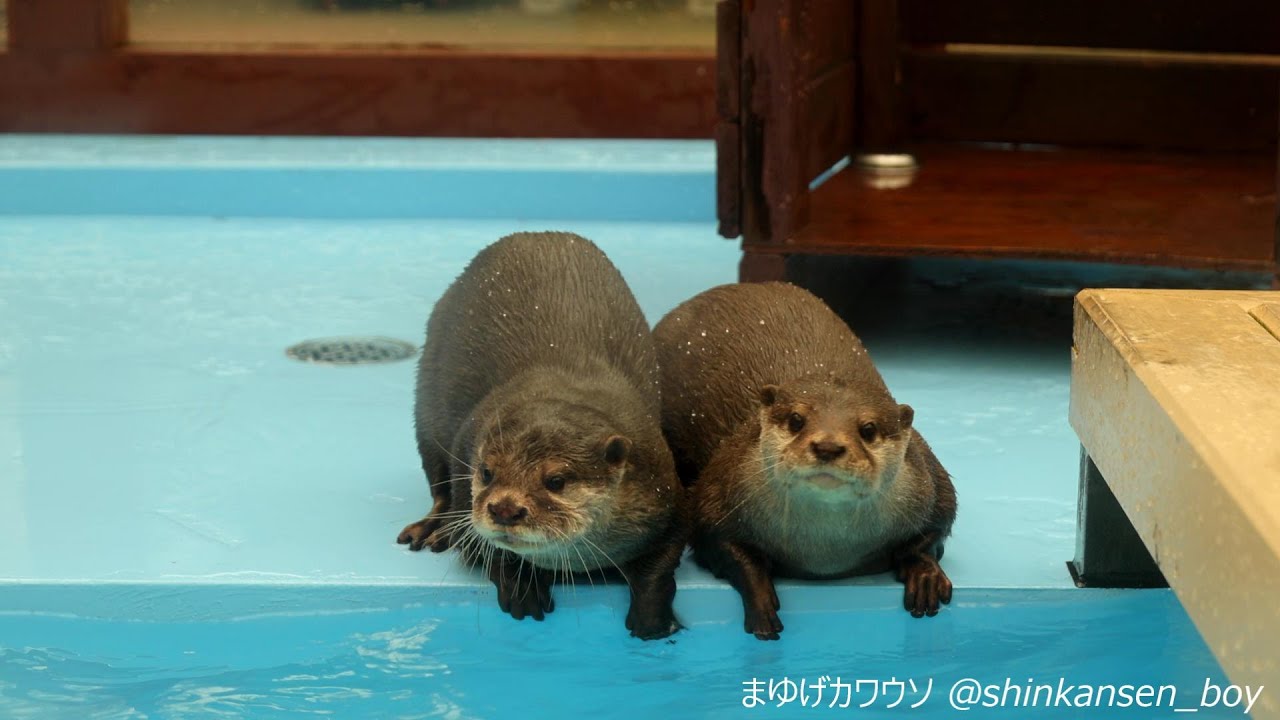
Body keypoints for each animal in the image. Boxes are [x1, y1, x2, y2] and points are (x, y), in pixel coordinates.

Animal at [397, 232, 686, 640]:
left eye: (556, 481)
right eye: (487, 472)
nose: (504, 508)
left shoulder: (666, 493)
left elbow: (662, 564)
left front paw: (653, 620)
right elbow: (485, 550)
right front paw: (522, 589)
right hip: (427, 404)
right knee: (438, 480)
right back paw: (433, 531)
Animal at [653, 282, 956, 639]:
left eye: (868, 429)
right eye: (797, 419)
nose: (827, 446)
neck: (826, 553)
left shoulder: (931, 484)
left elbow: (931, 534)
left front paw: (925, 574)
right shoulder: (717, 493)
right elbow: (725, 548)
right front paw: (761, 600)